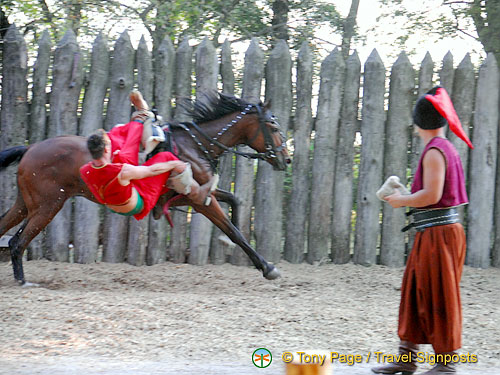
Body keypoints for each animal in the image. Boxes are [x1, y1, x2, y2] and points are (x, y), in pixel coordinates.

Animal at [0, 93, 292, 284]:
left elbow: (234, 199)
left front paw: (229, 243)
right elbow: (234, 231)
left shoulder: (186, 197)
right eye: (274, 126)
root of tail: (30, 148)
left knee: (6, 229)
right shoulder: (197, 199)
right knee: (17, 242)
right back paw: (23, 281)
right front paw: (267, 267)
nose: (286, 159)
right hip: (48, 206)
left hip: (26, 204)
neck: (195, 146)